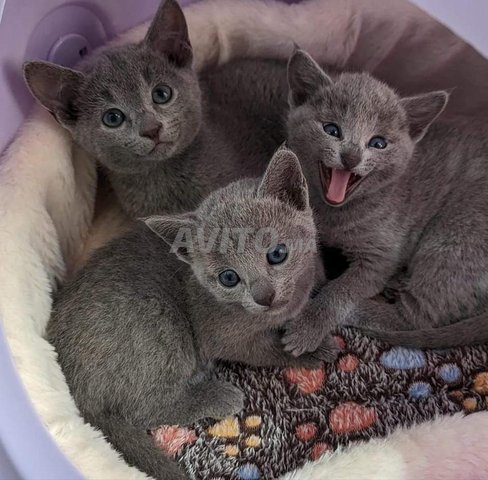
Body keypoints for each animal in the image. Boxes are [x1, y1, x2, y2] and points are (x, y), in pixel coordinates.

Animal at [47, 148, 333, 480]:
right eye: (228, 278)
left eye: (277, 254)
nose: (264, 296)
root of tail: (73, 387)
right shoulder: (225, 336)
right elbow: (266, 351)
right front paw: (313, 351)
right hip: (159, 323)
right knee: (141, 410)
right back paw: (217, 395)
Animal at [280, 48, 488, 356]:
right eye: (332, 129)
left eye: (378, 143)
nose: (351, 156)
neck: (335, 214)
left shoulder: (380, 256)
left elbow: (341, 290)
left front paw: (308, 326)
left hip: (454, 241)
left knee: (415, 318)